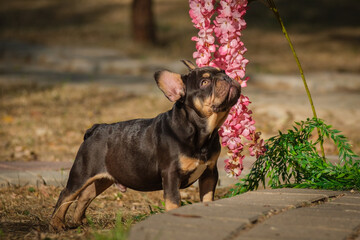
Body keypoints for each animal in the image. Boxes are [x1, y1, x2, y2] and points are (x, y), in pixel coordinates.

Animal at [49, 59, 240, 231]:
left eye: (223, 71)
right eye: (205, 82)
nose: (227, 77)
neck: (201, 130)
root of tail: (95, 129)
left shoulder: (209, 172)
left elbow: (207, 198)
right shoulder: (171, 174)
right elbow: (173, 202)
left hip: (104, 178)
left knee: (85, 196)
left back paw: (78, 222)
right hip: (83, 172)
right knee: (66, 194)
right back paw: (56, 224)